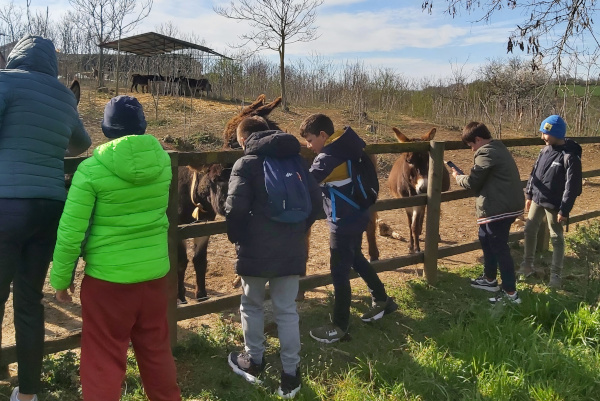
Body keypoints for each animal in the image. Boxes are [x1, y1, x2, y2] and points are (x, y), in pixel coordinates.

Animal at [176, 94, 284, 302]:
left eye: (231, 138)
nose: (224, 204)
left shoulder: (203, 228)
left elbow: (199, 260)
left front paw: (201, 296)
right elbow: (182, 261)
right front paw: (180, 297)